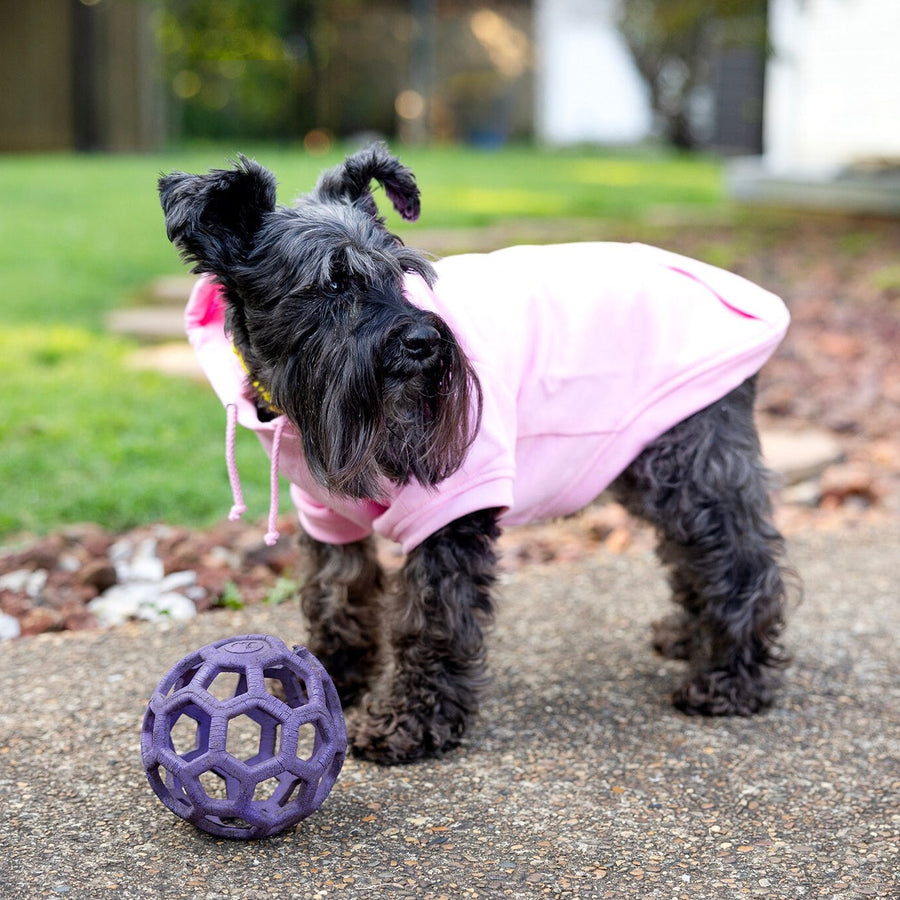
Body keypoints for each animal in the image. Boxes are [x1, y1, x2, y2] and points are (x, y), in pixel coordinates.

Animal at [158, 144, 792, 764]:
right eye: (332, 284)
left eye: (403, 274)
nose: (424, 341)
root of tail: (722, 283)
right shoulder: (326, 515)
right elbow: (335, 592)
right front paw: (322, 681)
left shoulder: (450, 511)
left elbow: (431, 619)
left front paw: (408, 723)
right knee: (696, 554)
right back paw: (689, 637)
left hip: (692, 467)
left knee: (740, 558)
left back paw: (730, 679)